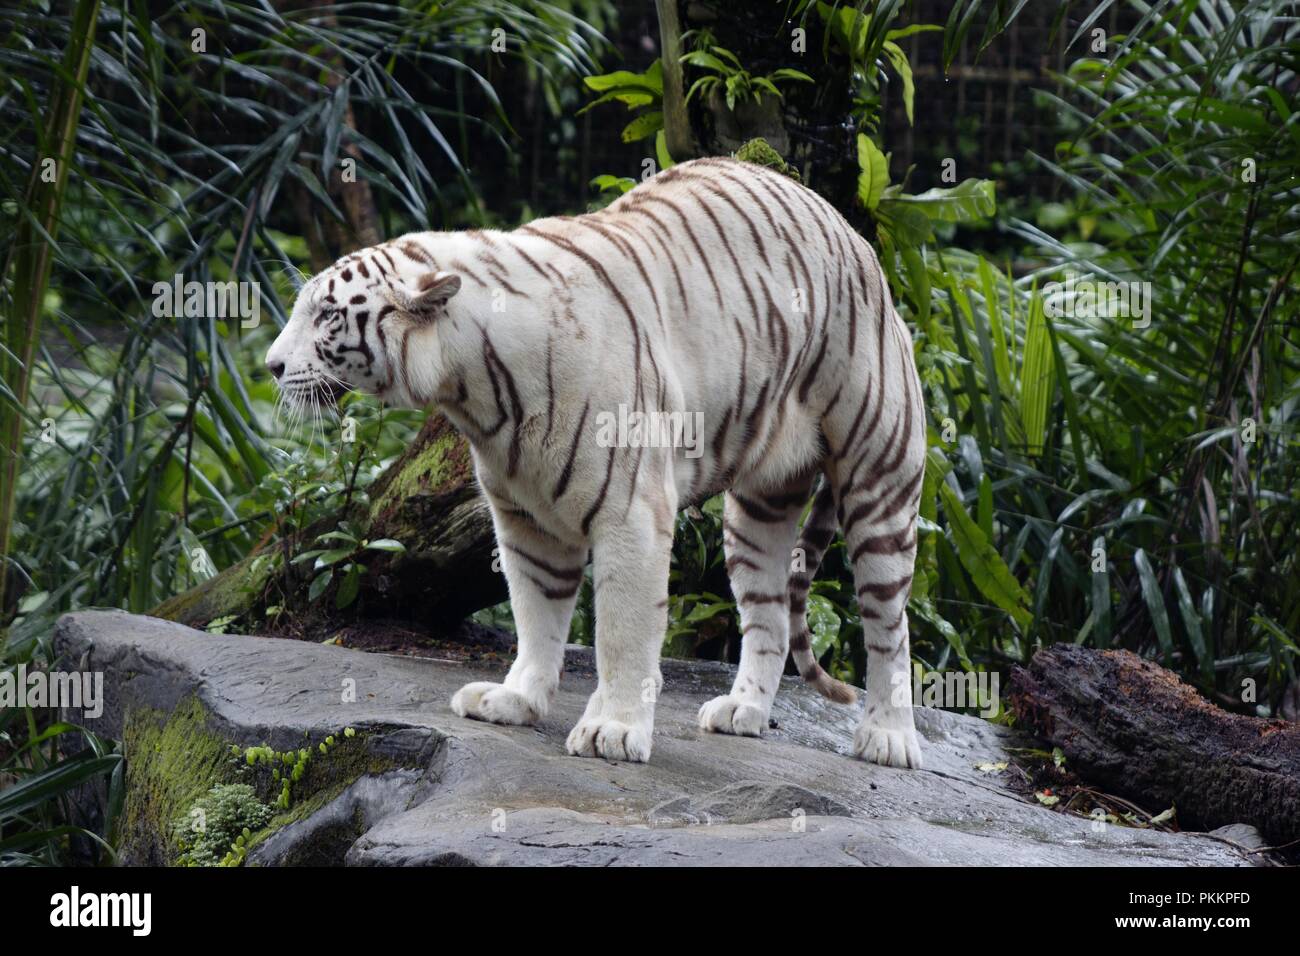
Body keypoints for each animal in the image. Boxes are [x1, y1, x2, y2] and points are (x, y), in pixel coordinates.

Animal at [265, 156, 926, 769]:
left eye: (327, 316)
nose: (271, 365)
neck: (473, 389)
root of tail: (854, 234)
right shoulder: (525, 518)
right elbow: (535, 614)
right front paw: (516, 700)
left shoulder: (631, 512)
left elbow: (621, 631)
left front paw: (614, 728)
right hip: (758, 509)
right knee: (767, 611)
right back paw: (743, 711)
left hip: (879, 475)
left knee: (890, 625)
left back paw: (888, 738)